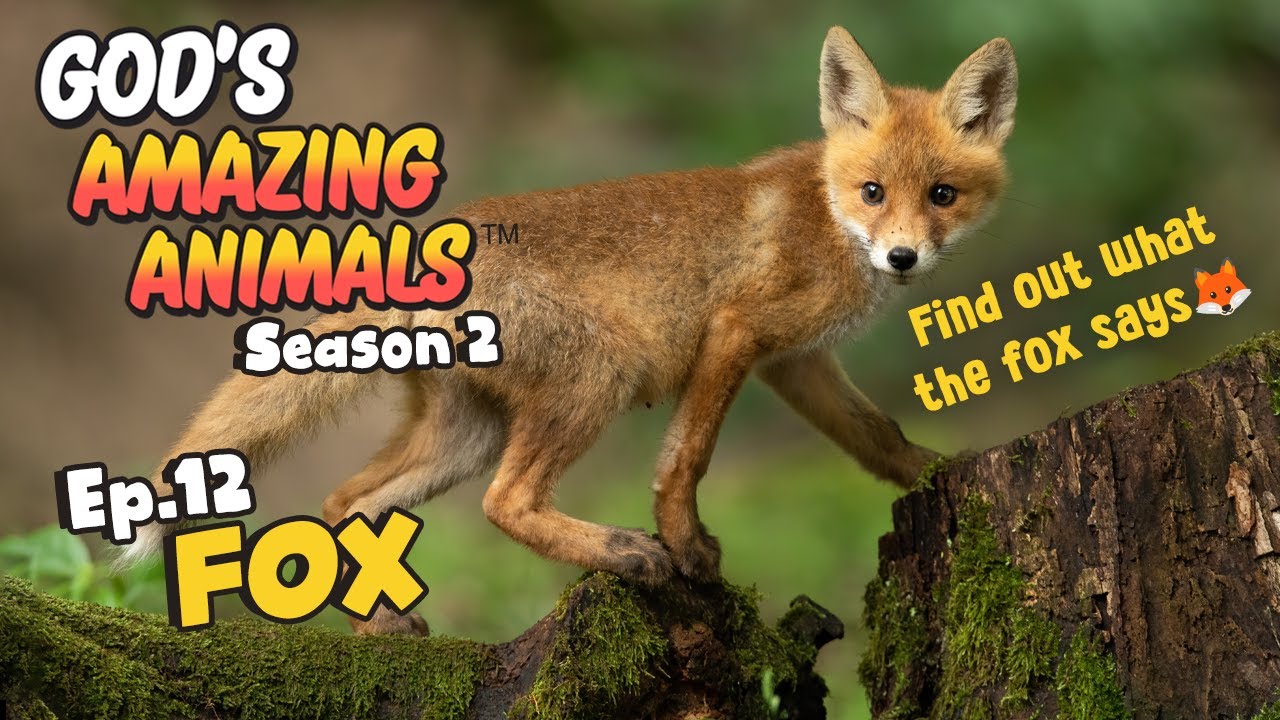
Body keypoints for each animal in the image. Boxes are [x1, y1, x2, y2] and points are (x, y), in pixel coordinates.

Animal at [123, 27, 1019, 635]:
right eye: (873, 192)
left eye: (941, 195)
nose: (902, 256)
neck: (826, 216)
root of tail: (425, 240)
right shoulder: (736, 333)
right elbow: (685, 460)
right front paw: (687, 548)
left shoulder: (796, 363)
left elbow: (878, 438)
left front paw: (939, 474)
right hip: (595, 380)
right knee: (503, 503)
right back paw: (622, 551)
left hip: (467, 433)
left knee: (349, 501)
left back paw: (378, 625)